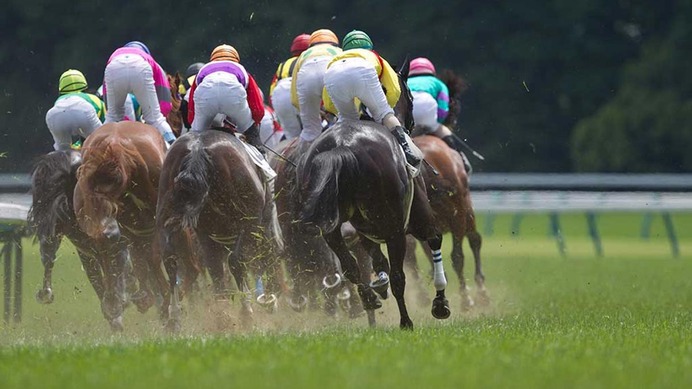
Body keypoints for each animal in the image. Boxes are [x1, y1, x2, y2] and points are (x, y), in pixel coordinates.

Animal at [158, 130, 282, 330]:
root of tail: (198, 148)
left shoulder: (207, 236)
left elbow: (215, 270)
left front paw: (222, 315)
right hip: (246, 224)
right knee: (236, 260)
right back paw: (246, 312)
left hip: (167, 219)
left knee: (170, 259)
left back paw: (175, 316)